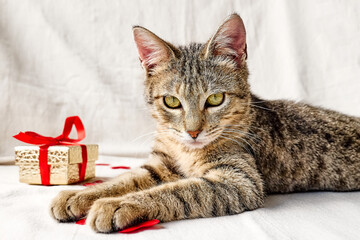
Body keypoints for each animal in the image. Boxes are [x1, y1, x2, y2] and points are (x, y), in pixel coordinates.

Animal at [49, 13, 358, 232]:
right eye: (171, 101)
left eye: (216, 99)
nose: (193, 131)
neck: (185, 150)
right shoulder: (159, 166)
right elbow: (123, 179)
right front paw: (80, 195)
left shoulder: (239, 181)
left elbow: (181, 191)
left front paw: (117, 204)